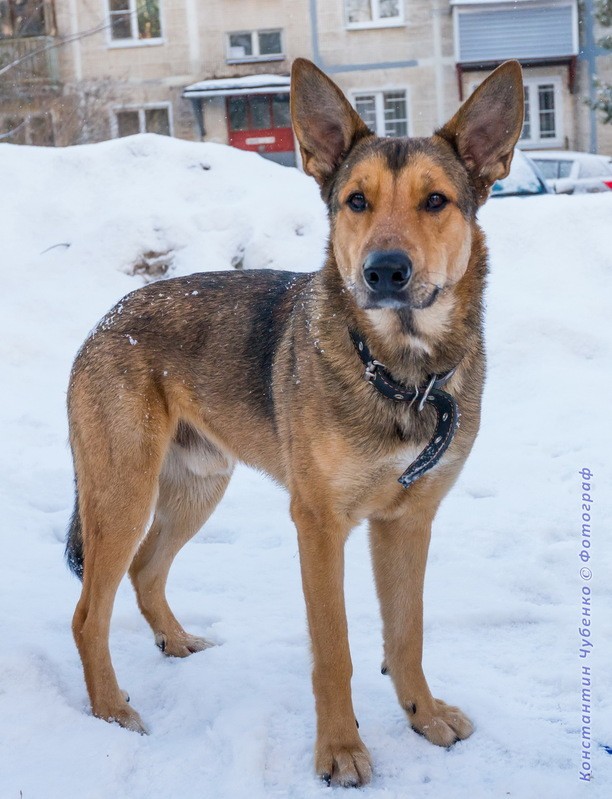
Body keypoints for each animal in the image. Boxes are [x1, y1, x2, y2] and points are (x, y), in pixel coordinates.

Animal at [67, 57, 524, 788]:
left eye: (435, 201)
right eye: (356, 201)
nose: (385, 271)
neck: (401, 370)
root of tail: (106, 320)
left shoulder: (409, 521)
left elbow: (408, 632)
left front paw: (422, 715)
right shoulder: (319, 524)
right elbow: (333, 648)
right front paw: (339, 750)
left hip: (198, 487)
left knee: (145, 572)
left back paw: (175, 639)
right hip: (122, 492)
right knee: (89, 612)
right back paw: (111, 709)